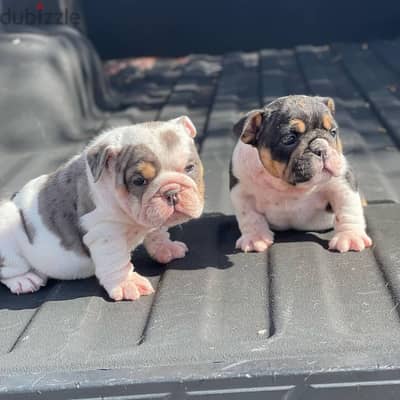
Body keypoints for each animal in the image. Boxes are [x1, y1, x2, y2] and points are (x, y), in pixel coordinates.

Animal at [0, 117, 205, 302]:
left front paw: (166, 247)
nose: (172, 192)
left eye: (189, 167)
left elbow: (158, 233)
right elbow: (116, 261)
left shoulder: (152, 217)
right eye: (139, 181)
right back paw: (24, 280)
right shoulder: (105, 234)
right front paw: (127, 283)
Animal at [230, 95, 374, 253]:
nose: (321, 148)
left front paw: (350, 236)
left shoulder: (341, 183)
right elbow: (249, 216)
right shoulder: (241, 192)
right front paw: (255, 238)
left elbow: (348, 210)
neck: (286, 185)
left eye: (333, 132)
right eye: (289, 138)